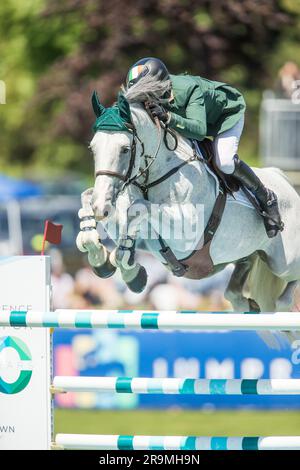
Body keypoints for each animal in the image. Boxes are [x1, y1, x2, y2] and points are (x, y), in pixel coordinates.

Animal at [75, 92, 300, 348]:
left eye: (124, 149)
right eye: (93, 148)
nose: (101, 208)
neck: (153, 178)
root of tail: (284, 180)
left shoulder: (185, 237)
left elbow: (138, 209)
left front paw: (129, 270)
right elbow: (94, 201)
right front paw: (103, 259)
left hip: (284, 263)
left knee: (288, 285)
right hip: (248, 254)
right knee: (237, 287)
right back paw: (250, 307)